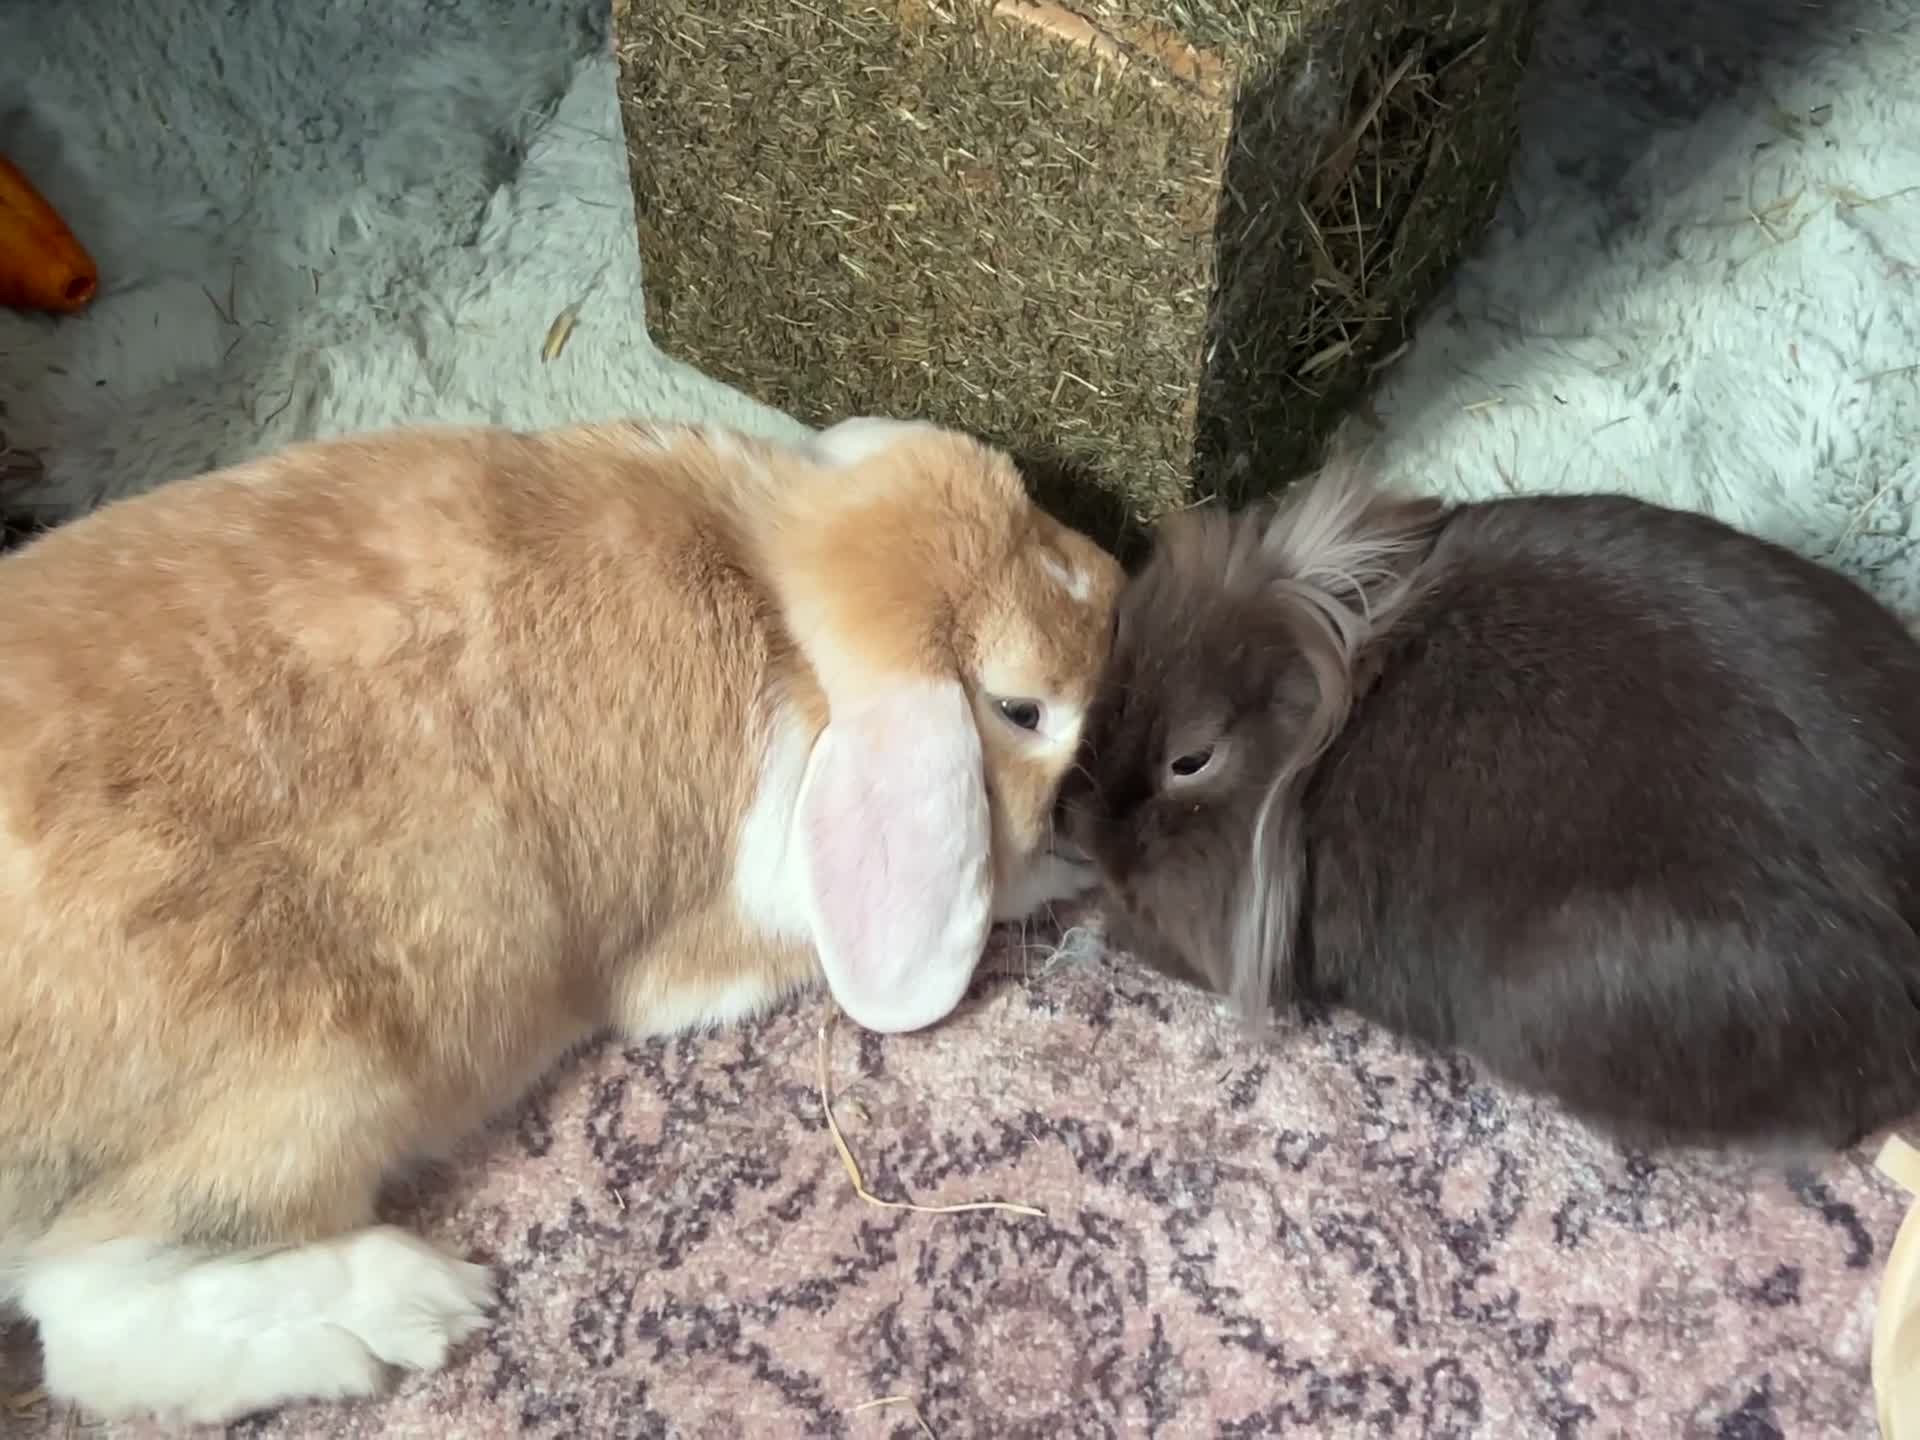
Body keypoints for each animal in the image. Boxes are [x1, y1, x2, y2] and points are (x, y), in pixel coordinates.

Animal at [0, 414, 1123, 1425]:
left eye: (1036, 507)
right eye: (1020, 708)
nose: (1120, 582)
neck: (778, 593)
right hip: (311, 1082)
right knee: (93, 1320)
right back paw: (402, 1310)